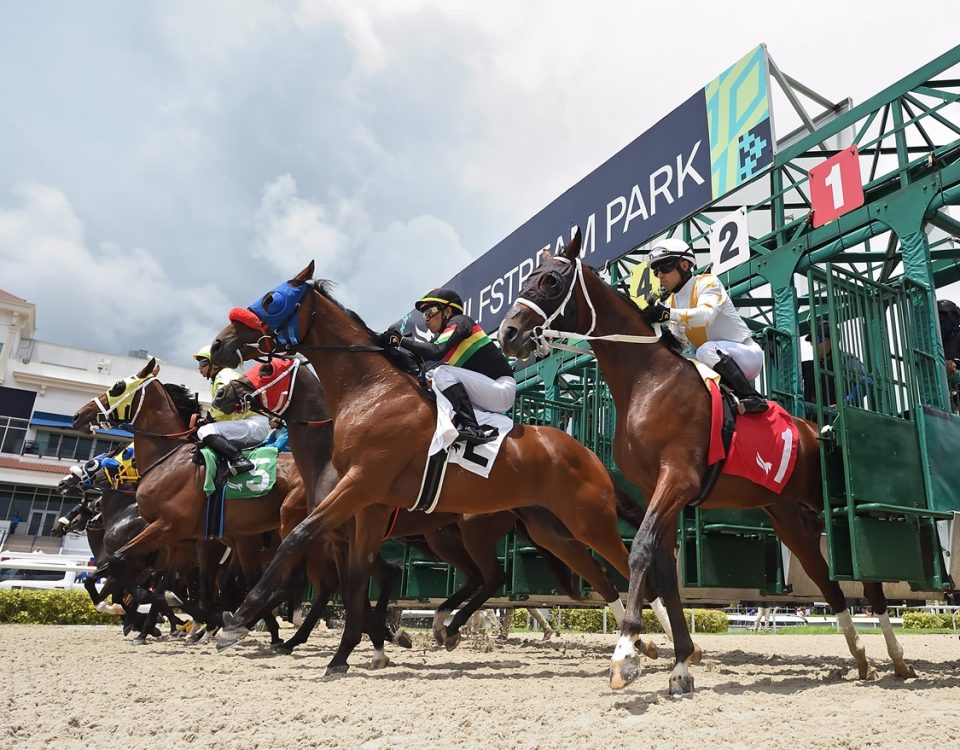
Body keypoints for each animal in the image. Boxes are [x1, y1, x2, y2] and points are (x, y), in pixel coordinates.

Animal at [207, 262, 684, 676]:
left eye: (271, 300)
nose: (217, 346)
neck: (371, 390)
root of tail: (585, 451)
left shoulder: (358, 486)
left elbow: (300, 540)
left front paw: (236, 622)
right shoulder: (369, 506)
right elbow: (357, 578)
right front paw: (346, 655)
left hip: (579, 519)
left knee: (622, 567)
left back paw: (650, 646)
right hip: (552, 528)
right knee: (595, 576)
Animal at [496, 232, 916, 696]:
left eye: (550, 281)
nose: (507, 334)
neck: (647, 379)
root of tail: (813, 429)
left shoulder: (678, 479)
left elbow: (640, 550)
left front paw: (625, 655)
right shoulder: (658, 488)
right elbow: (664, 566)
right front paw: (681, 663)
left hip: (824, 499)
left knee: (868, 580)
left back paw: (897, 657)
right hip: (787, 515)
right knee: (825, 577)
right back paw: (859, 656)